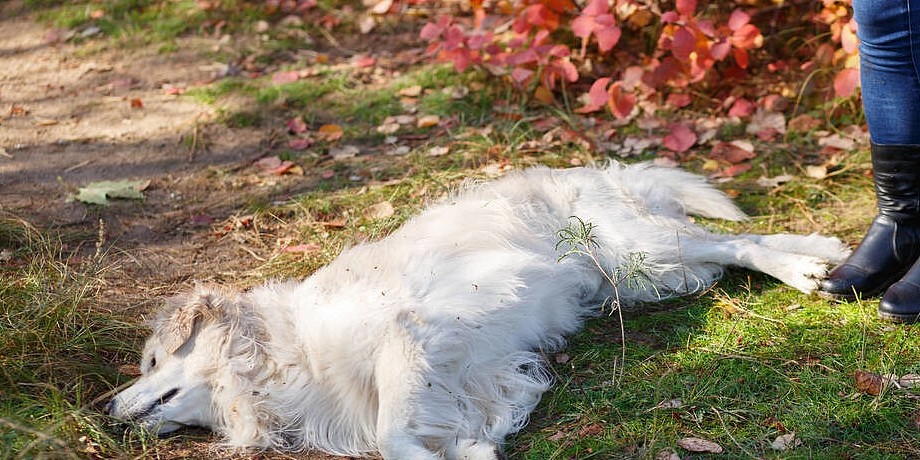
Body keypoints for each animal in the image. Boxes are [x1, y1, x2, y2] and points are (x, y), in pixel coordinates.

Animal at [106, 164, 848, 458]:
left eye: (151, 360)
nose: (105, 409)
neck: (273, 356)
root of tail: (593, 169)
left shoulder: (410, 336)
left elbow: (391, 436)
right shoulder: (472, 370)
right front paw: (472, 443)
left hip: (640, 252)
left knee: (737, 241)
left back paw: (813, 268)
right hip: (647, 279)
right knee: (730, 248)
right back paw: (824, 256)